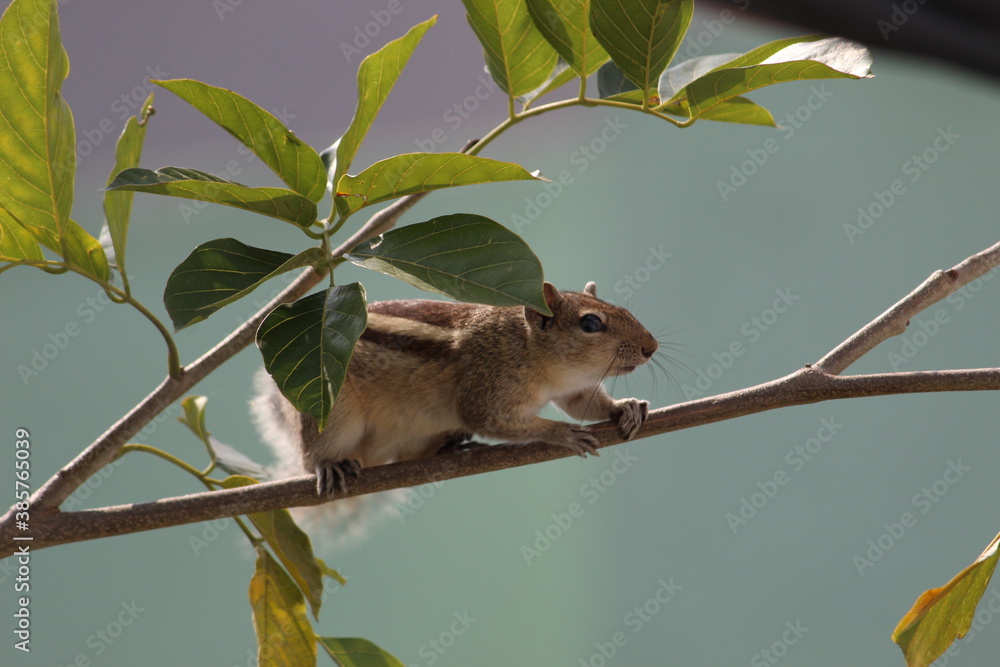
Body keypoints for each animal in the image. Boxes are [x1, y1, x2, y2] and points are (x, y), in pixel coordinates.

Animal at [252, 281, 658, 500]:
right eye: (591, 323)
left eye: (620, 308)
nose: (651, 347)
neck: (527, 346)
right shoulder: (487, 389)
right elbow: (488, 419)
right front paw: (562, 433)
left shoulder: (572, 389)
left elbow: (583, 403)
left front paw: (625, 407)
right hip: (334, 416)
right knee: (312, 459)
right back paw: (330, 465)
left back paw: (450, 445)